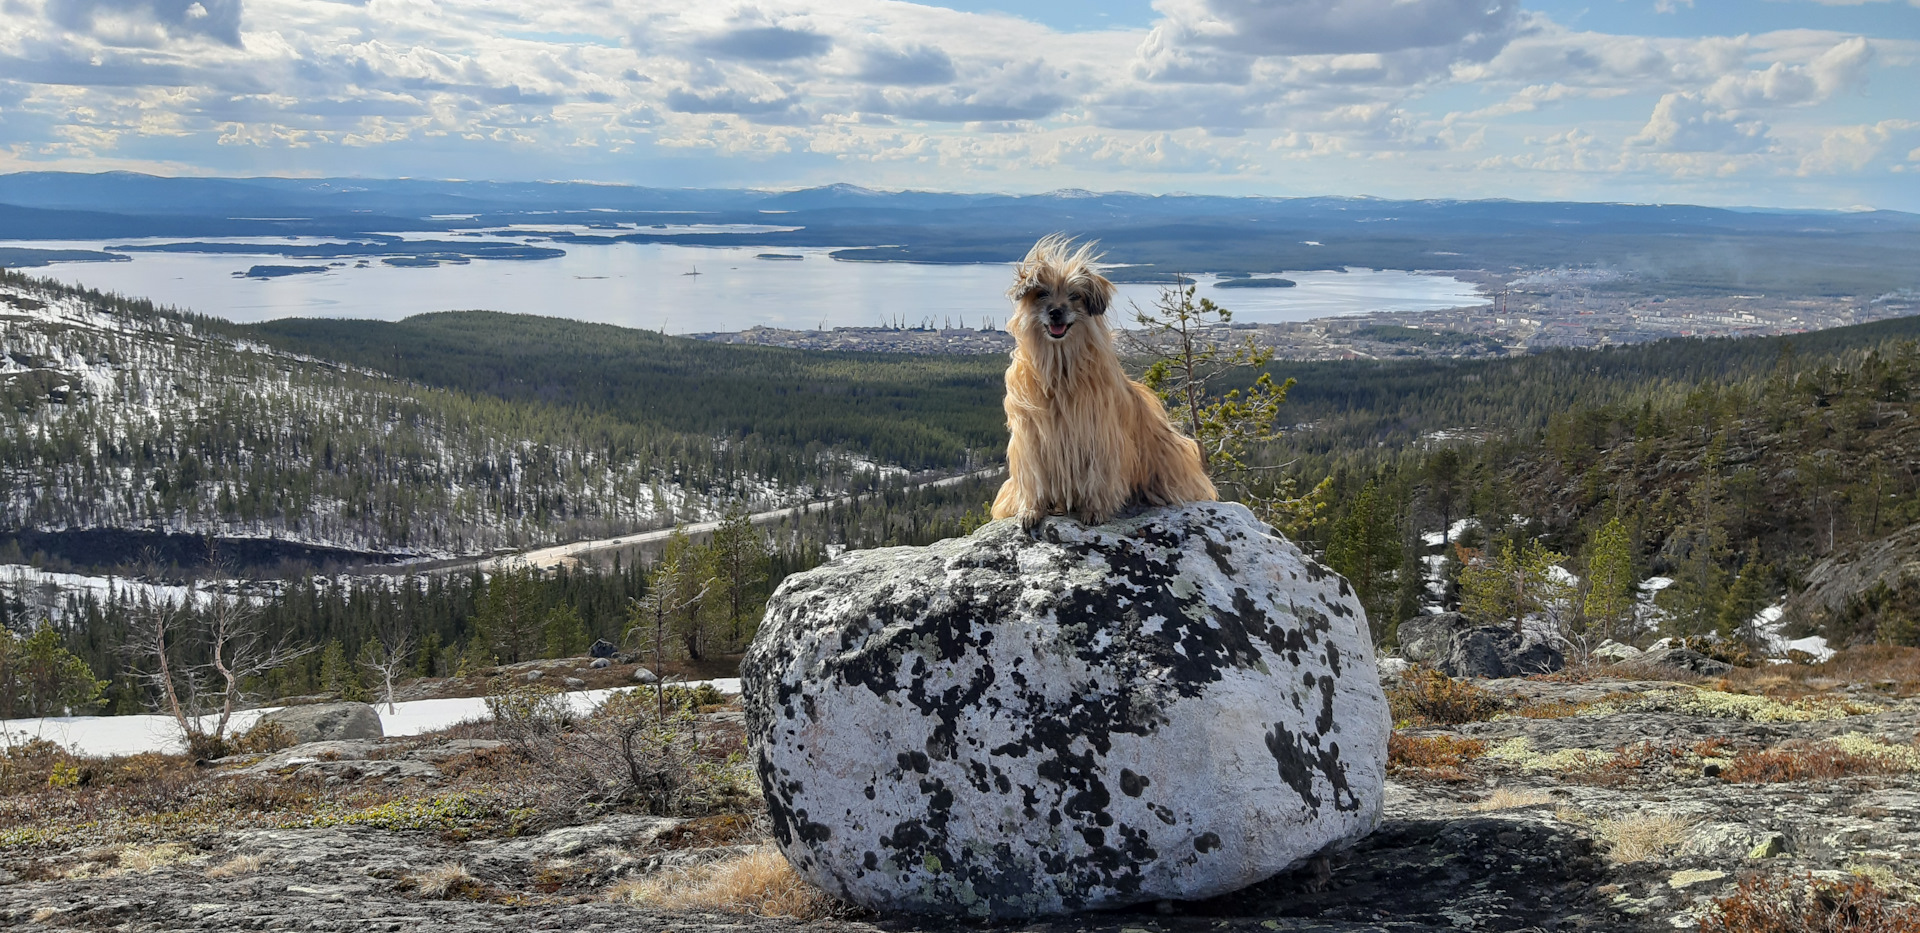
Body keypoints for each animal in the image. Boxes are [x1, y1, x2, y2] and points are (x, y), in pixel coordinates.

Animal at [990, 235, 1213, 533]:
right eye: (1042, 293)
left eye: (1075, 295)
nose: (1056, 312)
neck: (1059, 368)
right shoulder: (1032, 439)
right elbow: (1035, 478)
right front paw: (1032, 509)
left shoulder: (1098, 433)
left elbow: (1098, 475)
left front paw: (1095, 510)